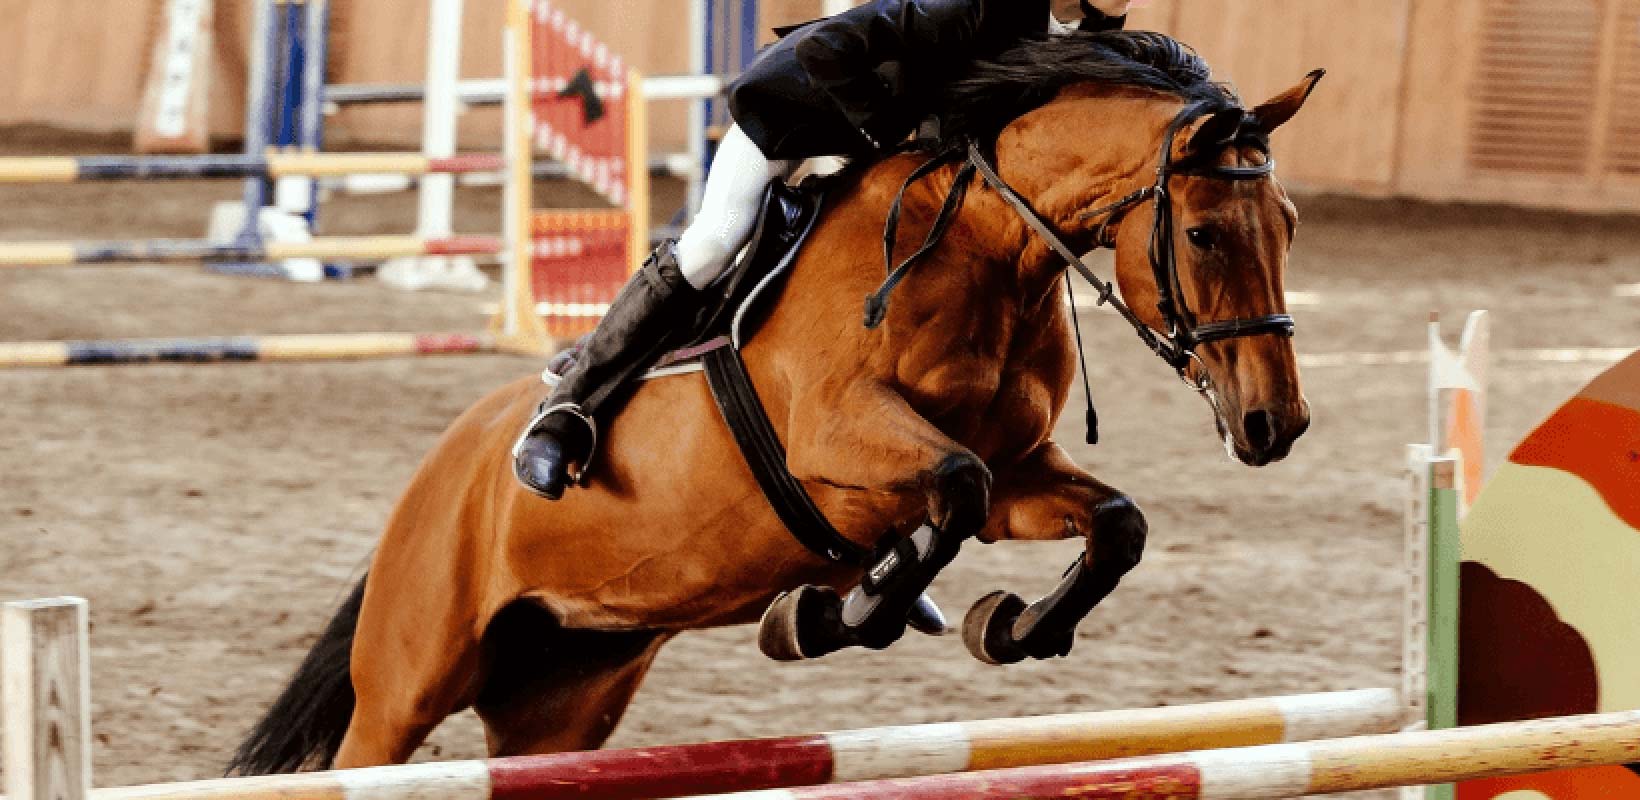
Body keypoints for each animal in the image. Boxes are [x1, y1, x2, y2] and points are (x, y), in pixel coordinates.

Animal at [229, 31, 1320, 774]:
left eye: (1290, 224)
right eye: (1205, 235)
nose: (1274, 426)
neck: (983, 249)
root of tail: (437, 473)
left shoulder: (1020, 471)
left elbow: (1110, 520)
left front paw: (1010, 626)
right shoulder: (838, 442)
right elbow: (954, 487)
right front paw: (836, 611)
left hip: (561, 696)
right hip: (407, 684)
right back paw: (552, 440)